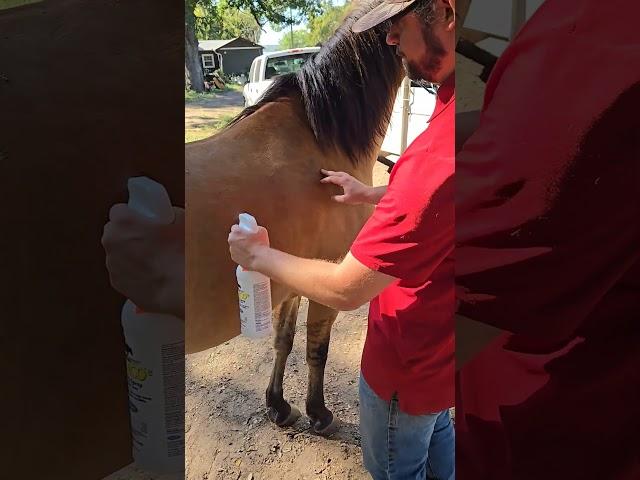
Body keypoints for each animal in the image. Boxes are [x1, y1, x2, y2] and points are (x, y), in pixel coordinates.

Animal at [185, 0, 402, 434]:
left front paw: (279, 405)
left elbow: (282, 339)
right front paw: (319, 412)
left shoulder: (292, 273)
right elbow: (316, 347)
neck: (320, 139)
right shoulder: (329, 272)